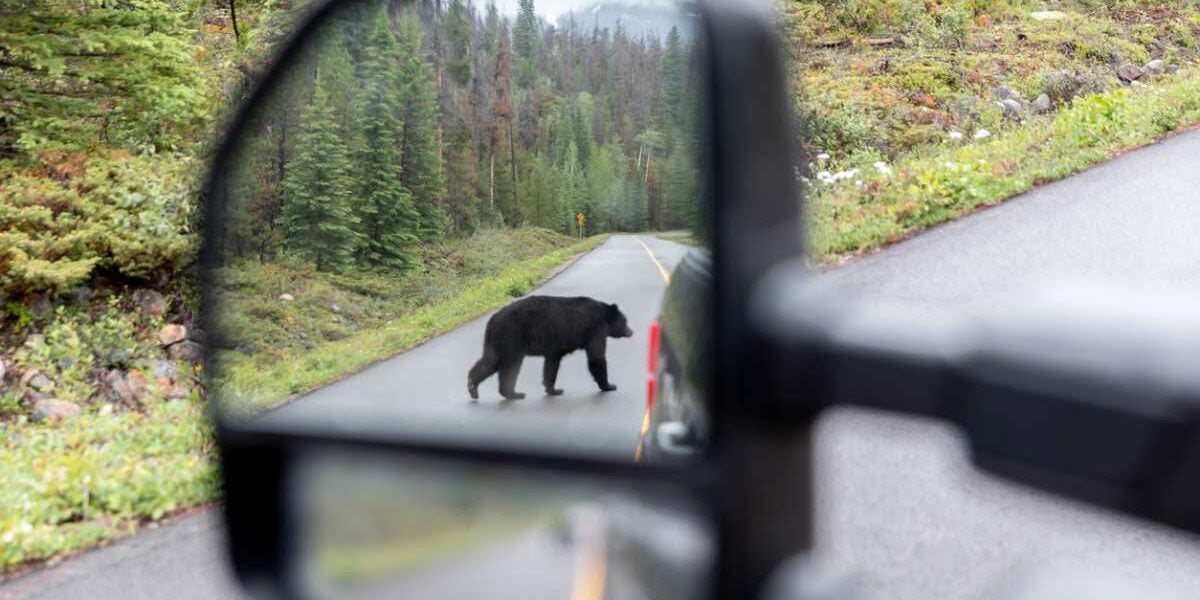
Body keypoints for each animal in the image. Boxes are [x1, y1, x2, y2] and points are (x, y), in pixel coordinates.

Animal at [468, 294, 638, 400]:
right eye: (625, 320)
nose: (631, 331)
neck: (603, 315)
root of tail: (493, 319)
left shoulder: (555, 346)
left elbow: (551, 364)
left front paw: (553, 389)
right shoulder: (595, 329)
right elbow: (596, 357)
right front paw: (609, 385)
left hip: (497, 341)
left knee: (490, 361)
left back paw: (473, 387)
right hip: (511, 337)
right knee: (509, 366)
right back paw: (512, 393)